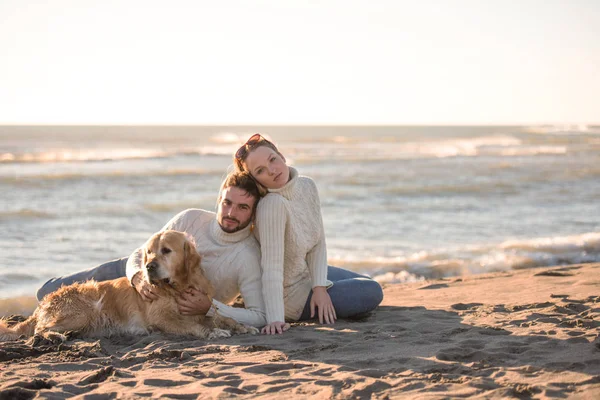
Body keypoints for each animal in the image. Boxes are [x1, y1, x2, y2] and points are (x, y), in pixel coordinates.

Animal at [0, 230, 258, 342]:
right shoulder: (161, 317)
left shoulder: (199, 306)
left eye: (166, 251)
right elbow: (194, 326)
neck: (177, 287)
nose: (149, 267)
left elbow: (222, 317)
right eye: (149, 252)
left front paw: (241, 326)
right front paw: (213, 331)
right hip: (84, 311)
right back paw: (55, 336)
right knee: (39, 329)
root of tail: (42, 304)